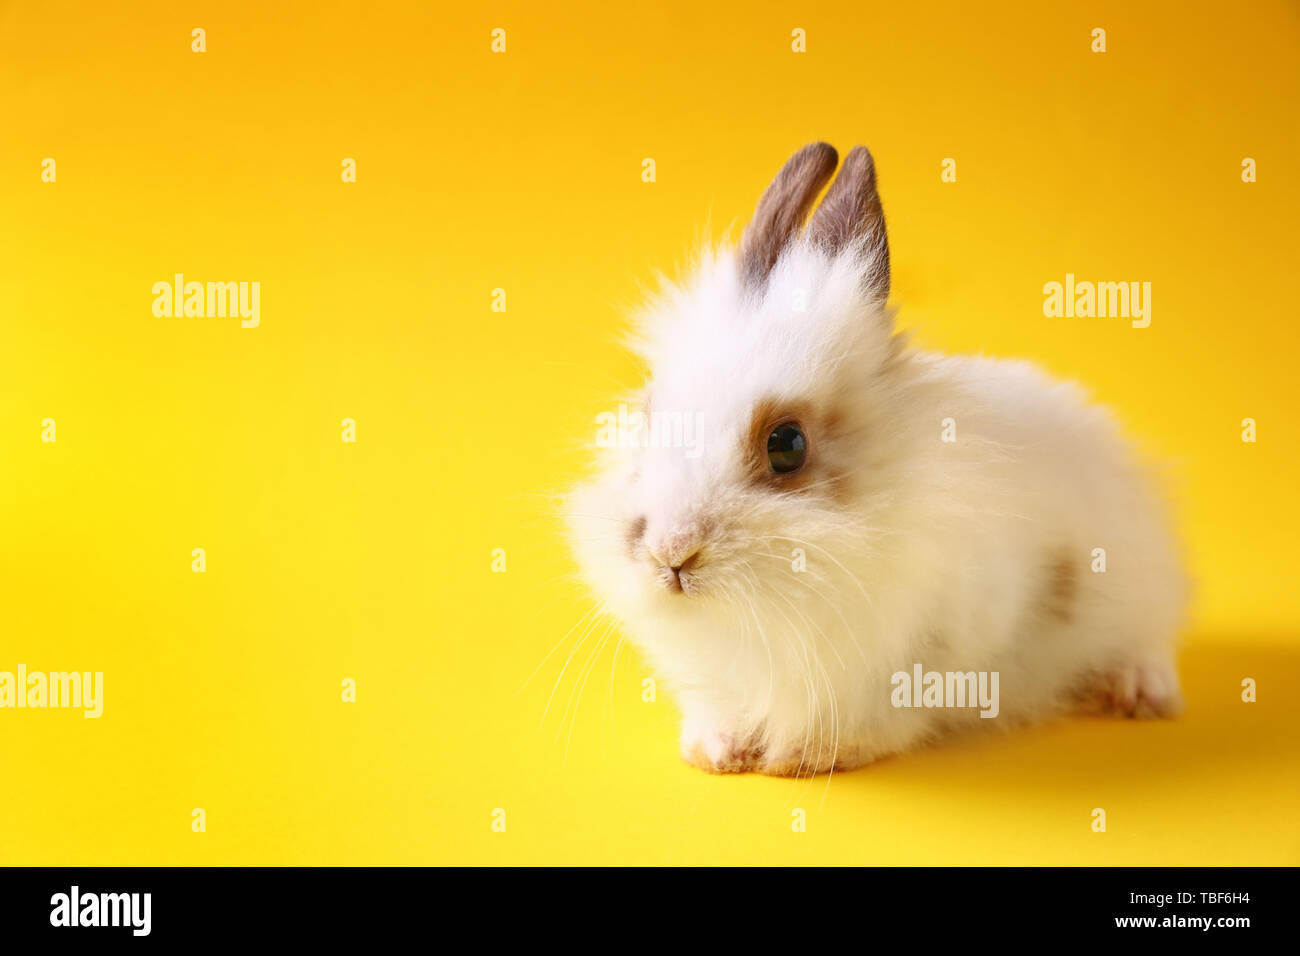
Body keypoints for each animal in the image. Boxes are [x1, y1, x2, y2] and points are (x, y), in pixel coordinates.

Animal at [566, 142, 1188, 776]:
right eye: (648, 413)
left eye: (787, 445)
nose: (671, 553)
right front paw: (715, 752)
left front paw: (803, 754)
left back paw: (1141, 692)